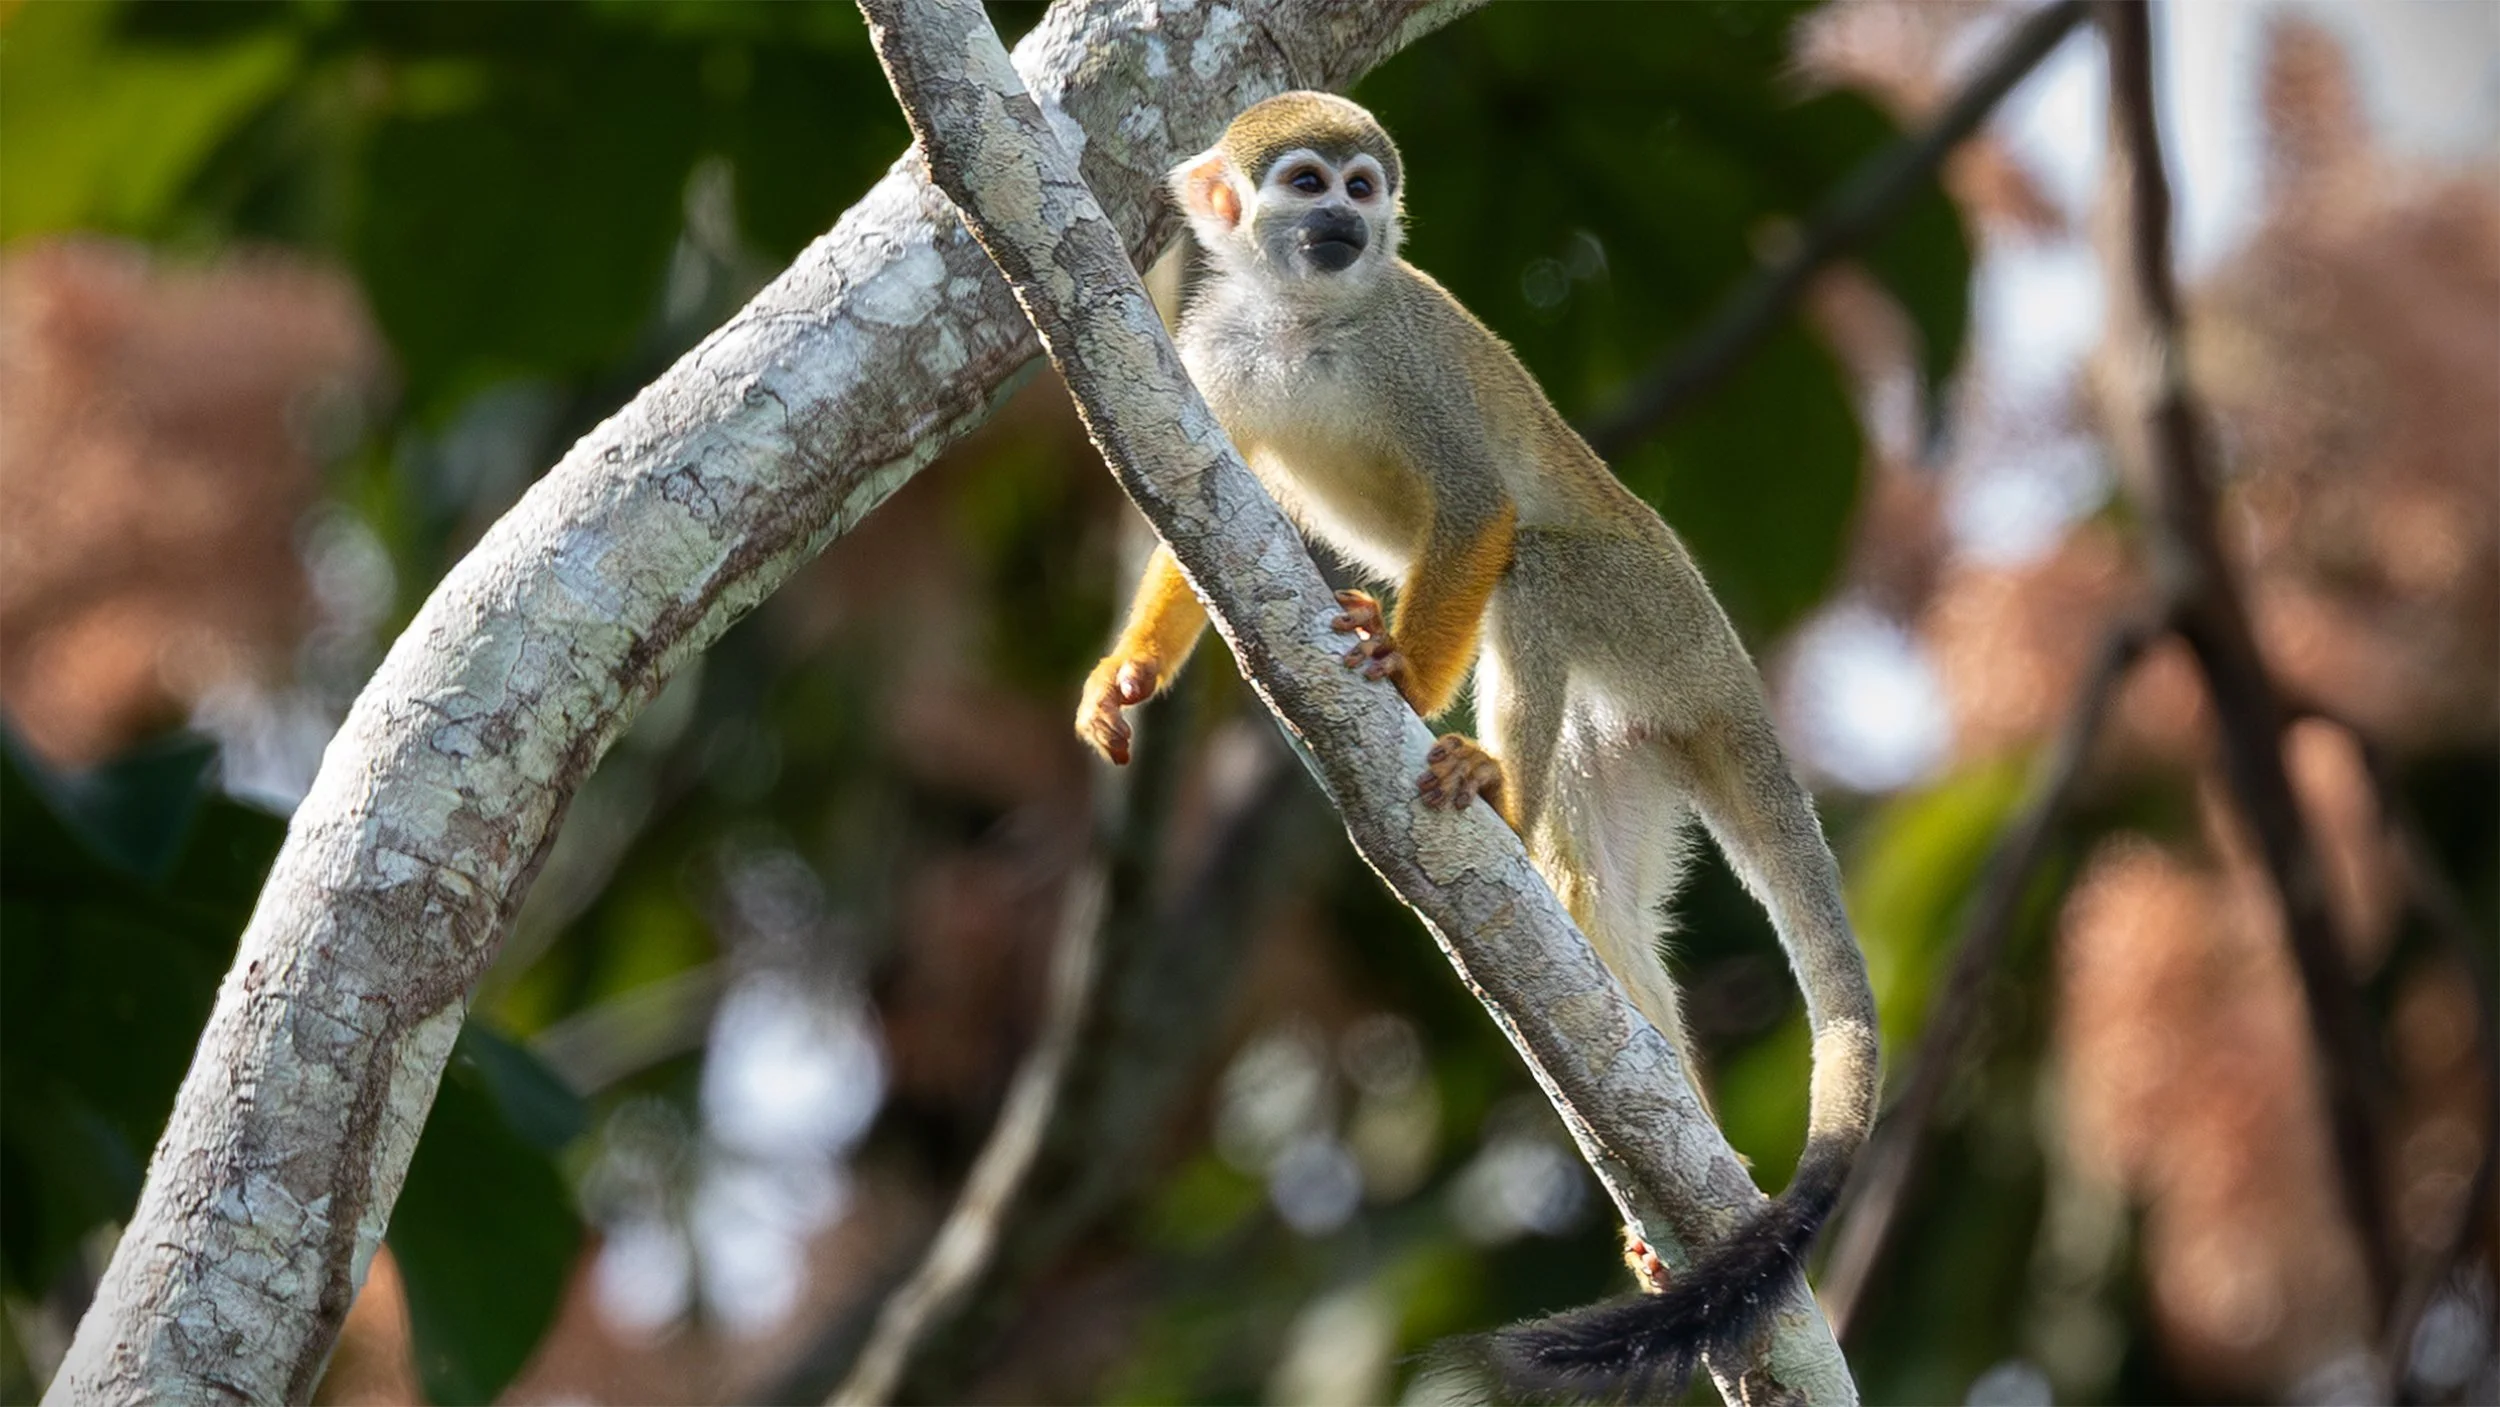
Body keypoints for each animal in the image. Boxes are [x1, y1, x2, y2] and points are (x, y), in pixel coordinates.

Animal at [1074, 91, 1880, 1398]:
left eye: (1363, 188)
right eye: (1308, 184)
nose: (1349, 224)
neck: (1301, 322)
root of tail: (1731, 679)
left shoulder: (1406, 349)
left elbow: (1477, 511)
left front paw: (1402, 669)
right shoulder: (1204, 358)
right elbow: (1201, 497)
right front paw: (1131, 676)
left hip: (1655, 620)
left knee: (1538, 567)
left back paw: (1494, 783)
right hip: (1635, 720)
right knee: (1592, 884)